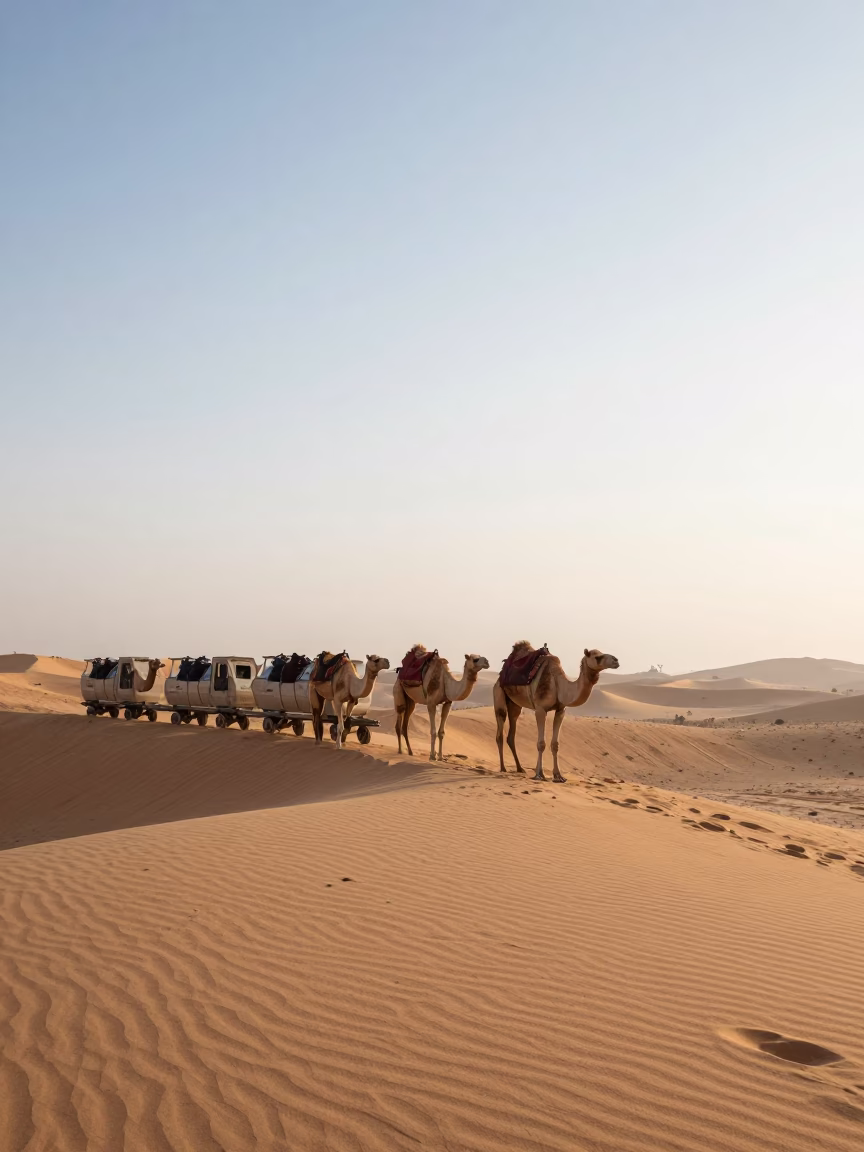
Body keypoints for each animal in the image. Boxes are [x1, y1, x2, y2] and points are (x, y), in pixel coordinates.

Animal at [494, 643, 619, 783]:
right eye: (598, 657)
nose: (616, 661)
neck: (558, 685)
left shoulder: (561, 710)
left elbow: (555, 744)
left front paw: (558, 776)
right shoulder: (540, 709)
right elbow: (541, 743)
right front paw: (539, 774)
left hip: (515, 705)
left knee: (511, 733)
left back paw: (520, 768)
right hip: (499, 694)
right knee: (500, 730)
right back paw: (503, 768)